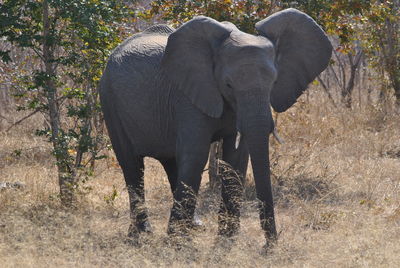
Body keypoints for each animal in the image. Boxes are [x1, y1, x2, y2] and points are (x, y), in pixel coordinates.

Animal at [99, 7, 332, 247]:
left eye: (274, 83)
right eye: (228, 84)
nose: (269, 245)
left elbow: (236, 158)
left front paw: (226, 239)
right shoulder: (189, 97)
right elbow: (196, 154)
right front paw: (177, 243)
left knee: (171, 162)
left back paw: (194, 225)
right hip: (109, 99)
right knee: (132, 164)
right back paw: (142, 233)